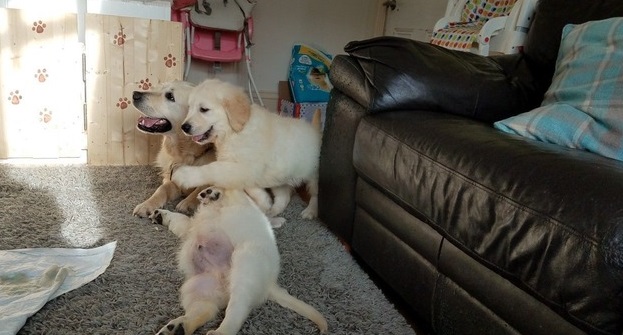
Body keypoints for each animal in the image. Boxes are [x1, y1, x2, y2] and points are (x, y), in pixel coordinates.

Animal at [151, 188, 330, 334]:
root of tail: (270, 285)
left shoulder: (244, 197)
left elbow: (251, 195)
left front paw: (212, 193)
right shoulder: (188, 228)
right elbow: (179, 220)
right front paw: (161, 215)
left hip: (245, 263)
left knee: (237, 309)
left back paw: (219, 331)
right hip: (200, 287)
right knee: (205, 310)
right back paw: (179, 327)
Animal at [173, 79, 324, 220]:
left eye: (204, 109)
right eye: (189, 108)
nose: (184, 127)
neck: (232, 133)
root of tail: (316, 130)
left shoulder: (245, 166)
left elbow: (214, 168)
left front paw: (185, 175)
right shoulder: (246, 171)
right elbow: (249, 186)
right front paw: (264, 201)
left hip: (314, 176)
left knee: (315, 195)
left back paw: (310, 211)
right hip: (280, 178)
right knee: (284, 197)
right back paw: (272, 211)